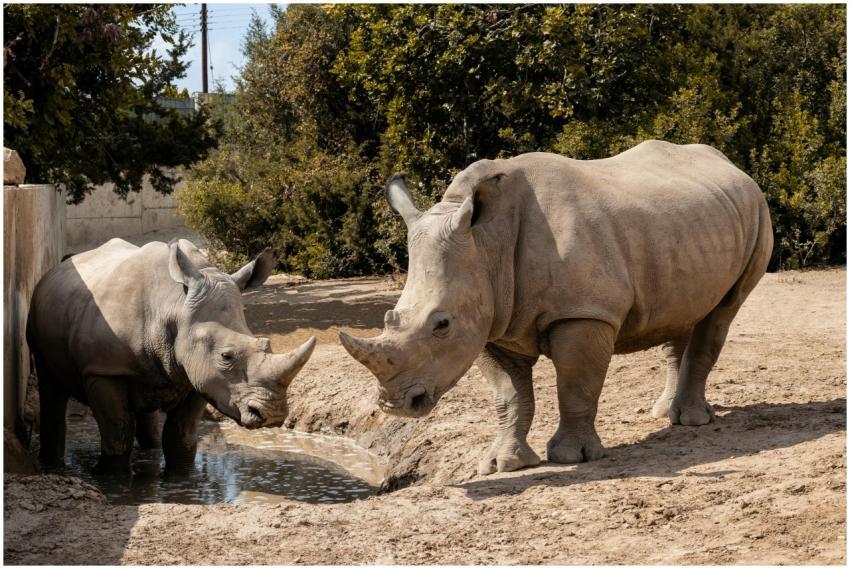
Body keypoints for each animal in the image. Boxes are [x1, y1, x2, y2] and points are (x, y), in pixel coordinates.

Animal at [27, 238, 316, 472]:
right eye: (226, 356)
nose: (274, 414)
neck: (173, 306)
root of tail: (60, 266)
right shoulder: (104, 369)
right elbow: (117, 432)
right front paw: (109, 477)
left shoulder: (199, 373)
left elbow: (181, 436)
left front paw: (181, 476)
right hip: (39, 317)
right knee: (50, 386)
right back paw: (51, 464)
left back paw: (150, 450)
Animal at [340, 140, 773, 475]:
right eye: (389, 318)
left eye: (442, 324)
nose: (394, 404)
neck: (488, 244)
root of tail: (732, 166)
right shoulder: (491, 321)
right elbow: (509, 396)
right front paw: (503, 465)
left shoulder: (583, 312)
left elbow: (575, 385)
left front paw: (572, 457)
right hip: (685, 228)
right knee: (682, 311)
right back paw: (663, 413)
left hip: (757, 213)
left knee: (722, 312)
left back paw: (693, 421)